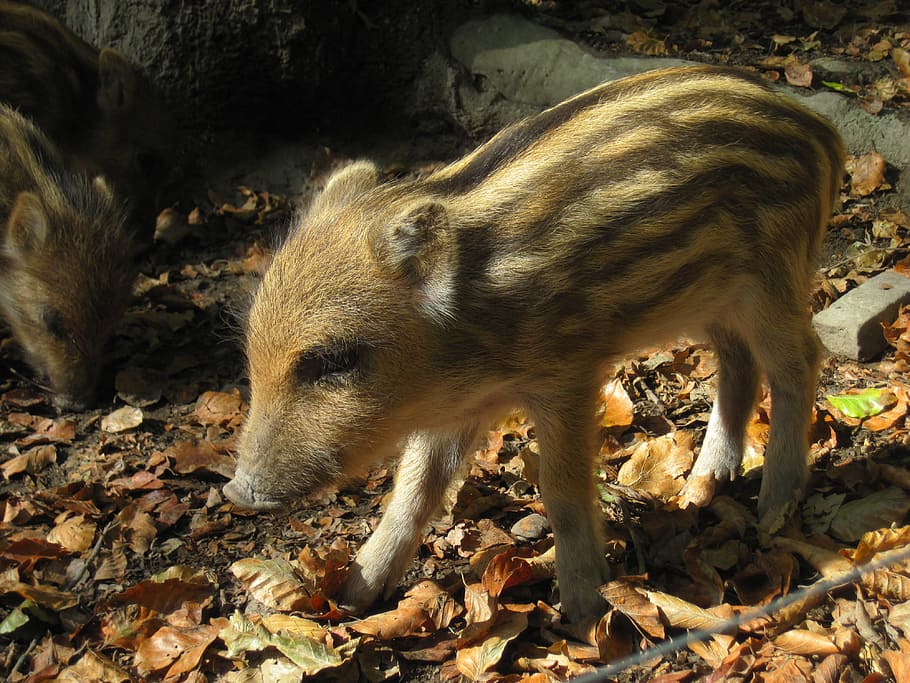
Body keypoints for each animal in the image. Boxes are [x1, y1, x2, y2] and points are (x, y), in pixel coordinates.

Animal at [224, 66, 845, 623]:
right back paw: (704, 484)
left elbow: (561, 489)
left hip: (772, 279)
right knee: (738, 364)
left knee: (799, 361)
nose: (236, 492)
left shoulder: (568, 374)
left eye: (336, 360)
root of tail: (821, 129)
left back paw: (774, 506)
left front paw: (584, 610)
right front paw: (354, 596)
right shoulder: (455, 406)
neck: (467, 336)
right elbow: (414, 489)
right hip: (708, 297)